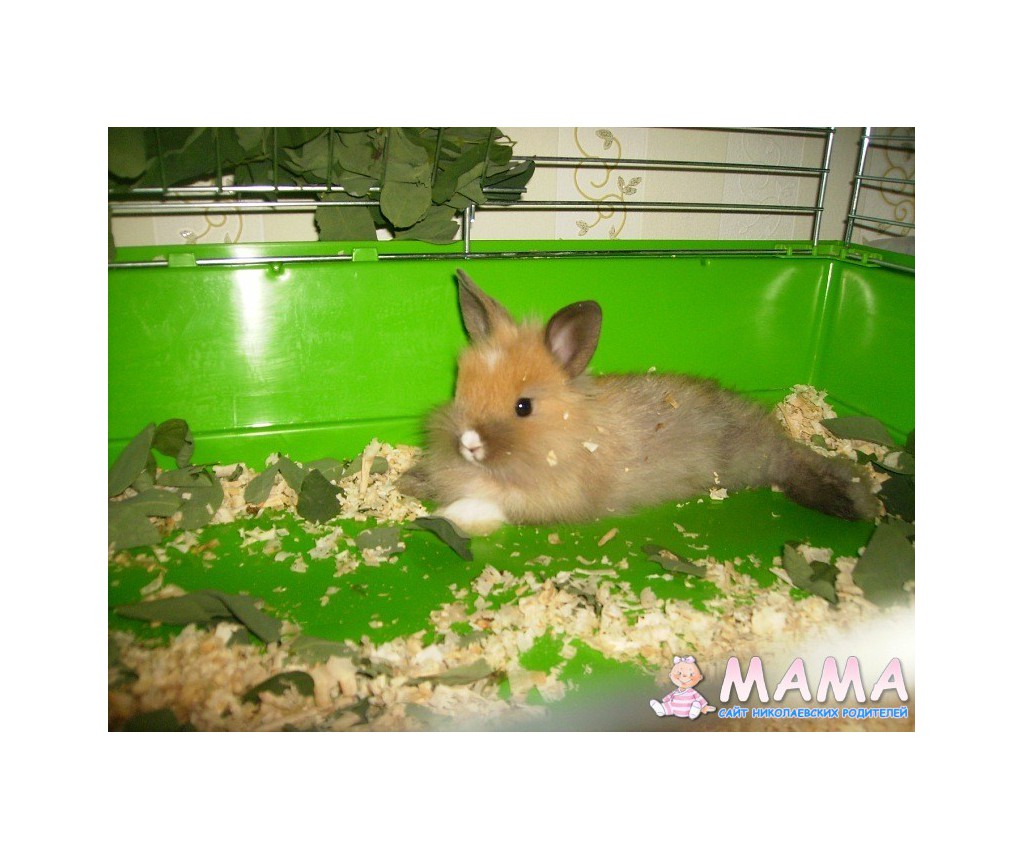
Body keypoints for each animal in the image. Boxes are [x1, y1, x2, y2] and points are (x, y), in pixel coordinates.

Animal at [400, 269, 879, 536]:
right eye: (461, 386)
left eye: (523, 407)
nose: (468, 443)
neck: (572, 435)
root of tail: (776, 442)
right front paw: (411, 482)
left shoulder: (550, 500)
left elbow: (490, 505)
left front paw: (453, 516)